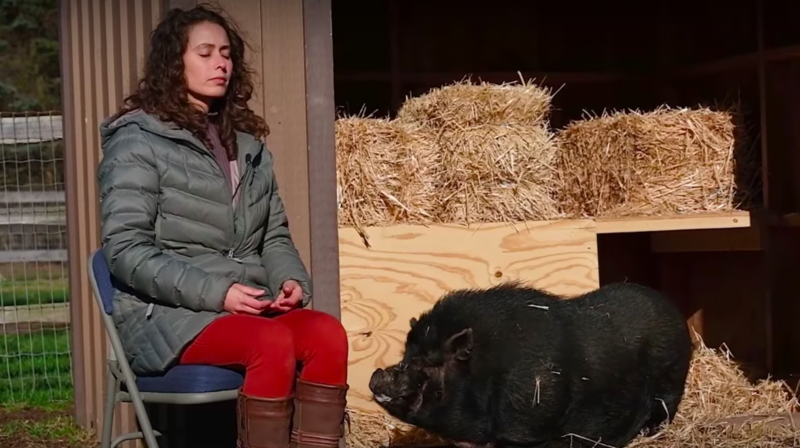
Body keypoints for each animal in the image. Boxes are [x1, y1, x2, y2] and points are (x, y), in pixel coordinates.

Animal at [369, 281, 693, 448]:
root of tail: (672, 309)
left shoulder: (526, 425)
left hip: (672, 379)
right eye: (406, 357)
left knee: (663, 410)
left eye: (428, 365)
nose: (376, 376)